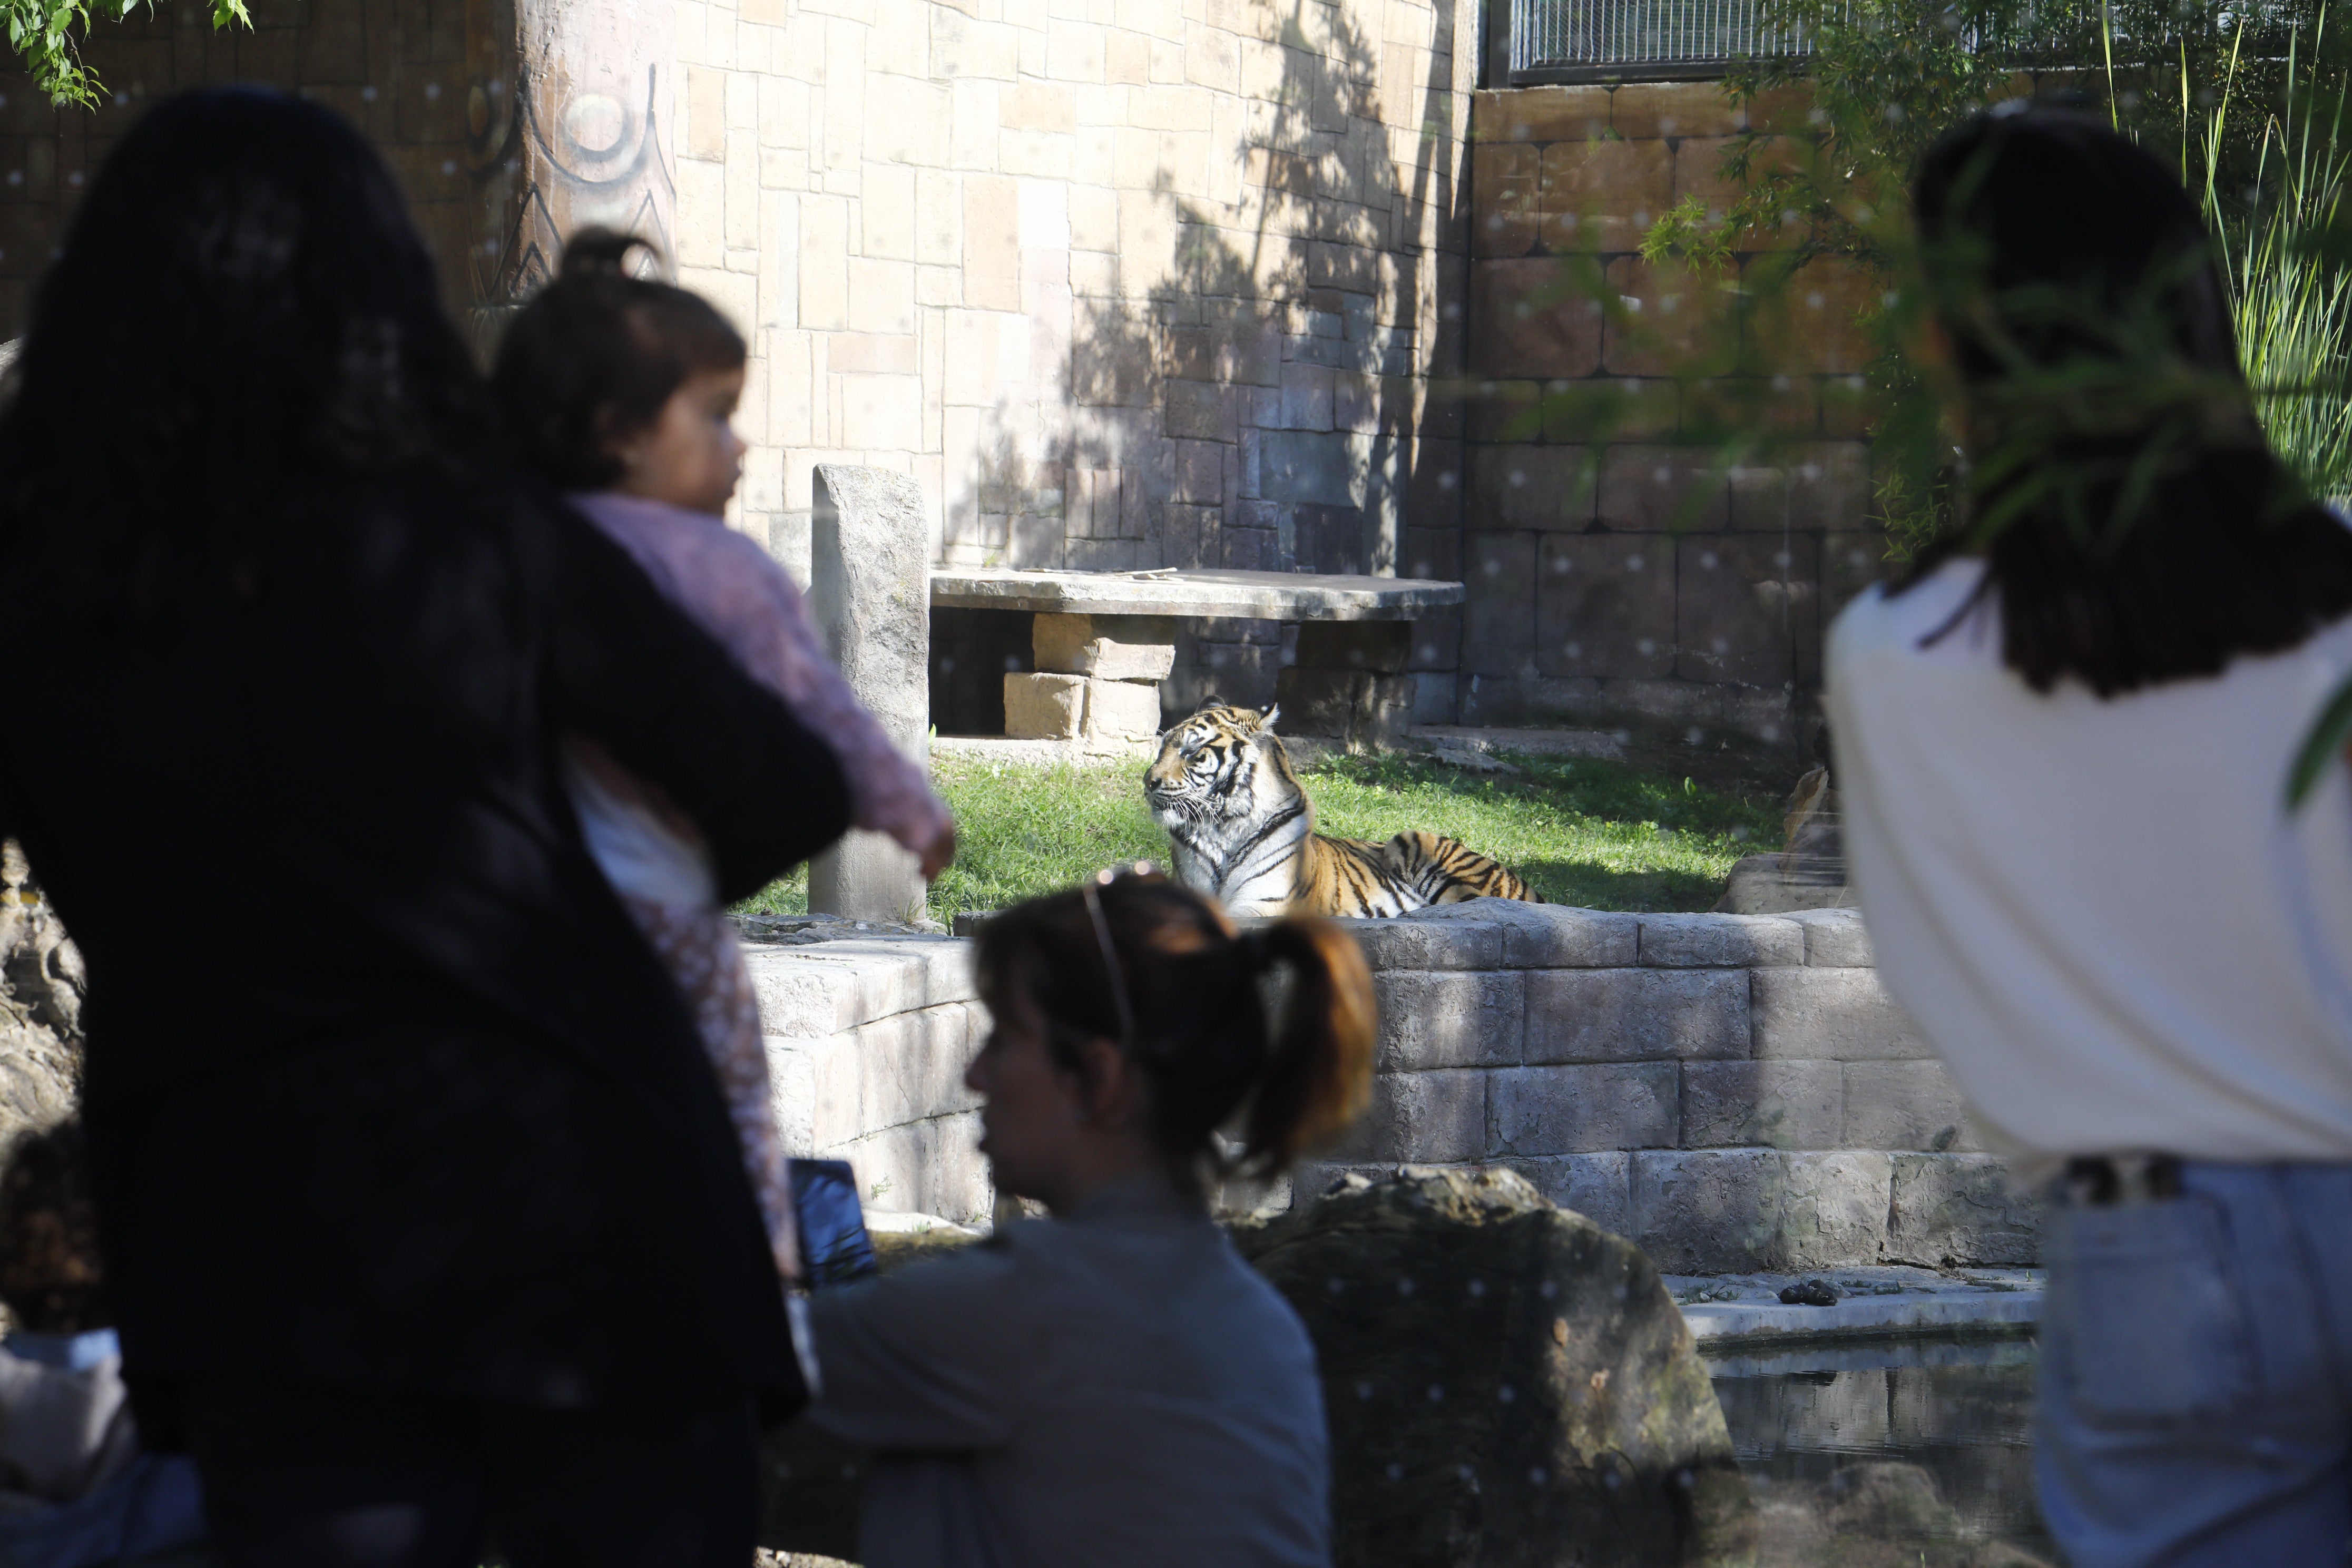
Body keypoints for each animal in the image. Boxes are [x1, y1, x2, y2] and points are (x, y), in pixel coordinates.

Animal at [1138, 700, 1543, 922]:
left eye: (1193, 752)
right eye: (1163, 746)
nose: (1149, 781)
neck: (1223, 827)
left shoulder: (1266, 906)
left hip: (1418, 843)